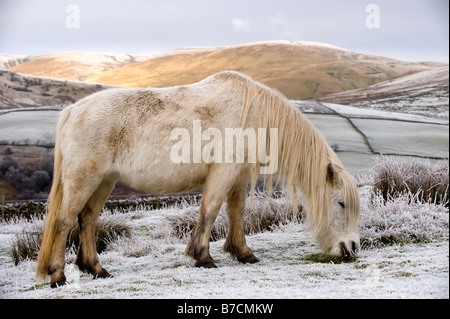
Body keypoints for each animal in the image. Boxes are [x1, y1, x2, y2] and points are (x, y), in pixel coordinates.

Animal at [35, 71, 360, 288]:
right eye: (341, 204)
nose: (353, 247)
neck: (253, 113)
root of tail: (72, 110)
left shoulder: (238, 175)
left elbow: (236, 212)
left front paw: (243, 252)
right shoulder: (223, 172)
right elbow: (210, 210)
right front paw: (203, 256)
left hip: (104, 181)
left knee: (87, 220)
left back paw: (96, 269)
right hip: (84, 179)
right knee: (64, 221)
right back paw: (58, 275)